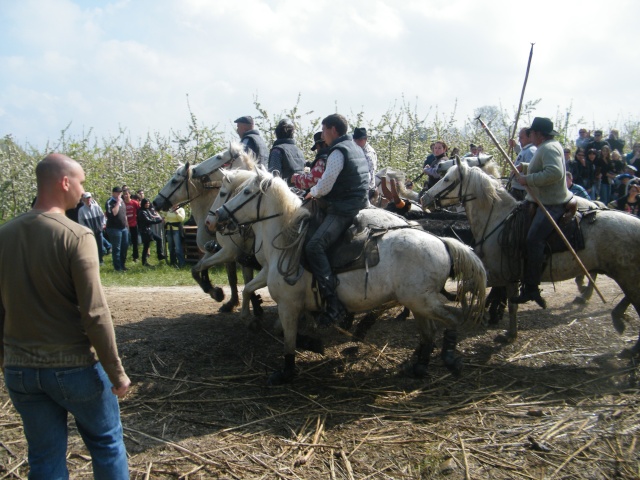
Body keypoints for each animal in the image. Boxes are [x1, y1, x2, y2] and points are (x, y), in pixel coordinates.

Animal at [151, 142, 262, 316]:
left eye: (175, 181)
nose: (155, 202)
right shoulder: (221, 252)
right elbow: (201, 270)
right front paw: (223, 296)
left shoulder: (230, 252)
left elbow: (239, 278)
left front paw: (220, 294)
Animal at [209, 171, 484, 384]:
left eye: (245, 192)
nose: (218, 217)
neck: (287, 242)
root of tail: (442, 241)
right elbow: (266, 308)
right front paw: (307, 341)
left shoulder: (288, 305)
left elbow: (288, 340)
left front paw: (286, 372)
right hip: (418, 303)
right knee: (428, 333)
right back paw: (418, 366)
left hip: (423, 301)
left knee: (452, 319)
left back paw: (449, 357)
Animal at [420, 159, 640, 354]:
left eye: (447, 179)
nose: (424, 198)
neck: (498, 220)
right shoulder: (508, 277)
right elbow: (510, 305)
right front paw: (509, 333)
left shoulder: (498, 274)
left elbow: (468, 288)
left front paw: (480, 314)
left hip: (627, 275)